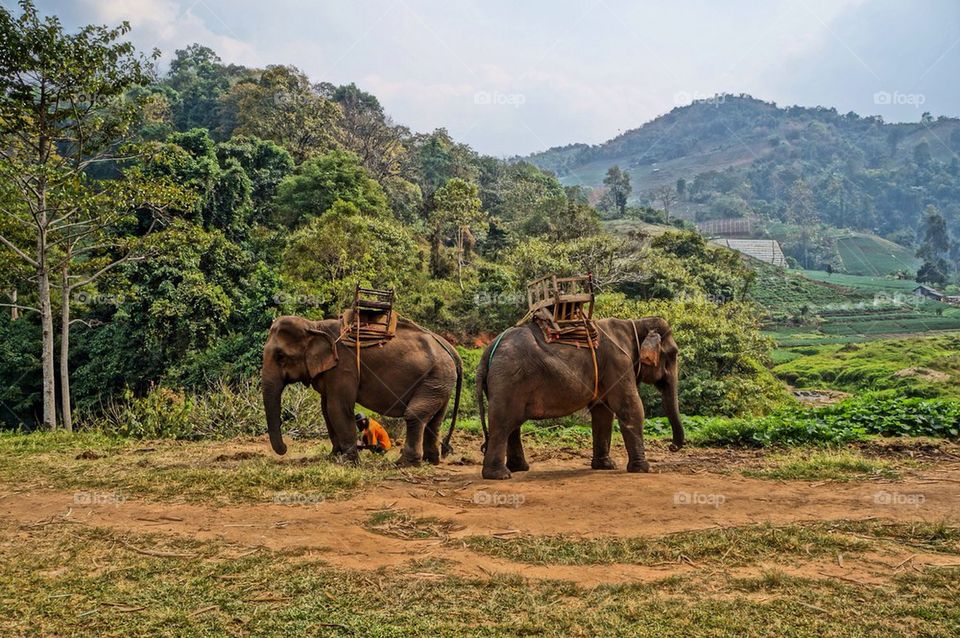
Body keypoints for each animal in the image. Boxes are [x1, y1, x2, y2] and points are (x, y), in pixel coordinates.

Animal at [258, 318, 462, 468]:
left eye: (280, 356)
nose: (285, 448)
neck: (314, 326)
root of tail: (450, 348)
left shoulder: (344, 367)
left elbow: (338, 408)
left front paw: (348, 462)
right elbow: (326, 410)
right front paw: (333, 456)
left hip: (435, 379)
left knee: (415, 415)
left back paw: (404, 464)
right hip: (440, 383)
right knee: (435, 419)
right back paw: (431, 461)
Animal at [476, 316, 680, 480]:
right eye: (673, 353)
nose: (672, 447)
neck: (635, 324)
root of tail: (487, 353)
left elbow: (602, 413)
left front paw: (605, 466)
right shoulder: (619, 363)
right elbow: (630, 408)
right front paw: (643, 469)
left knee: (512, 425)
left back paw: (519, 469)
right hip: (508, 381)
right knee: (503, 423)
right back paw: (500, 476)